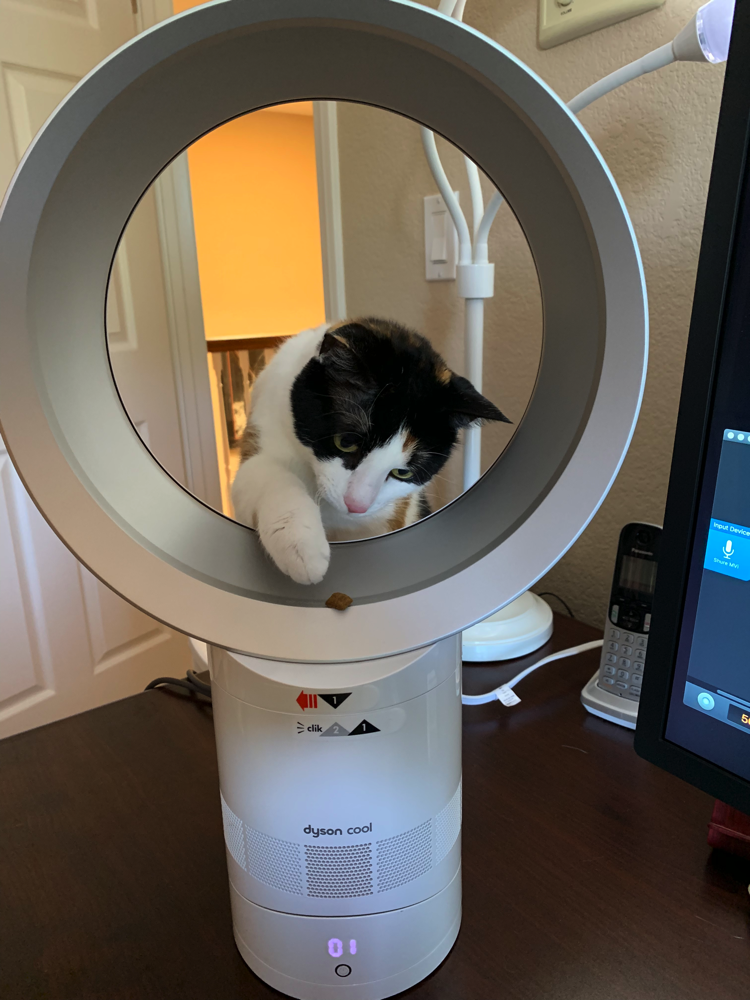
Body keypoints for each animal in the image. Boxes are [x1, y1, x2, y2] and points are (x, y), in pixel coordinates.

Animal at [232, 318, 508, 584]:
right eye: (346, 442)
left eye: (403, 472)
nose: (356, 505)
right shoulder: (263, 428)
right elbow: (267, 473)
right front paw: (300, 545)